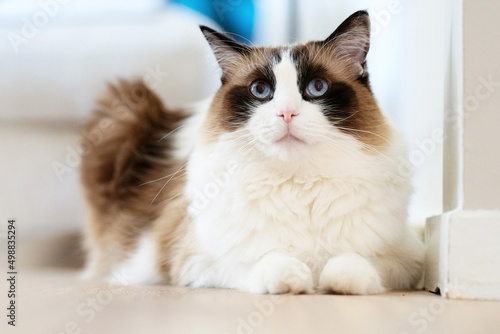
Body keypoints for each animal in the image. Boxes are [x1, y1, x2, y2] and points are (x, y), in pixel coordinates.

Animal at [80, 10, 424, 294]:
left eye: (317, 88)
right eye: (261, 91)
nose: (286, 113)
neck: (299, 183)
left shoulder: (405, 258)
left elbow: (352, 265)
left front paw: (334, 280)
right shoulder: (190, 258)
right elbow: (268, 261)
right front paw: (295, 279)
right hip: (125, 106)